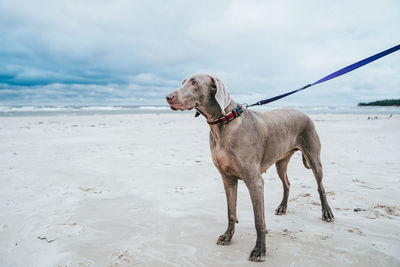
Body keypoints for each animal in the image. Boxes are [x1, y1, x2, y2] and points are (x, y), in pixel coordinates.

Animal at [166, 74, 334, 262]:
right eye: (183, 82)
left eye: (195, 83)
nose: (168, 97)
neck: (223, 124)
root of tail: (303, 112)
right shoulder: (228, 179)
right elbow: (230, 212)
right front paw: (227, 236)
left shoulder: (255, 182)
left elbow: (258, 221)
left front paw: (259, 250)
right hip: (281, 161)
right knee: (287, 184)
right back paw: (282, 207)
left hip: (313, 157)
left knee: (320, 187)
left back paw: (327, 212)